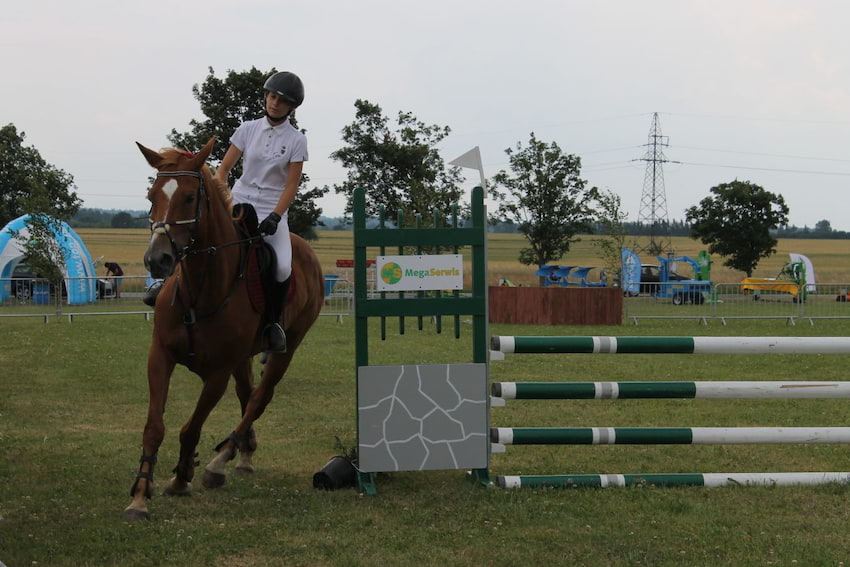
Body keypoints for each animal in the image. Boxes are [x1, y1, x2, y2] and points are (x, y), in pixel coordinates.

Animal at [124, 140, 322, 520]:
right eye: (152, 195)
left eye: (189, 197)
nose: (157, 260)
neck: (199, 292)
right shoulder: (160, 357)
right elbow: (154, 426)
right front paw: (140, 494)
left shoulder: (217, 374)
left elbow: (190, 429)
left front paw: (182, 477)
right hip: (244, 358)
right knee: (247, 395)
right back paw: (243, 454)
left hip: (287, 348)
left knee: (259, 398)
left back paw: (221, 460)